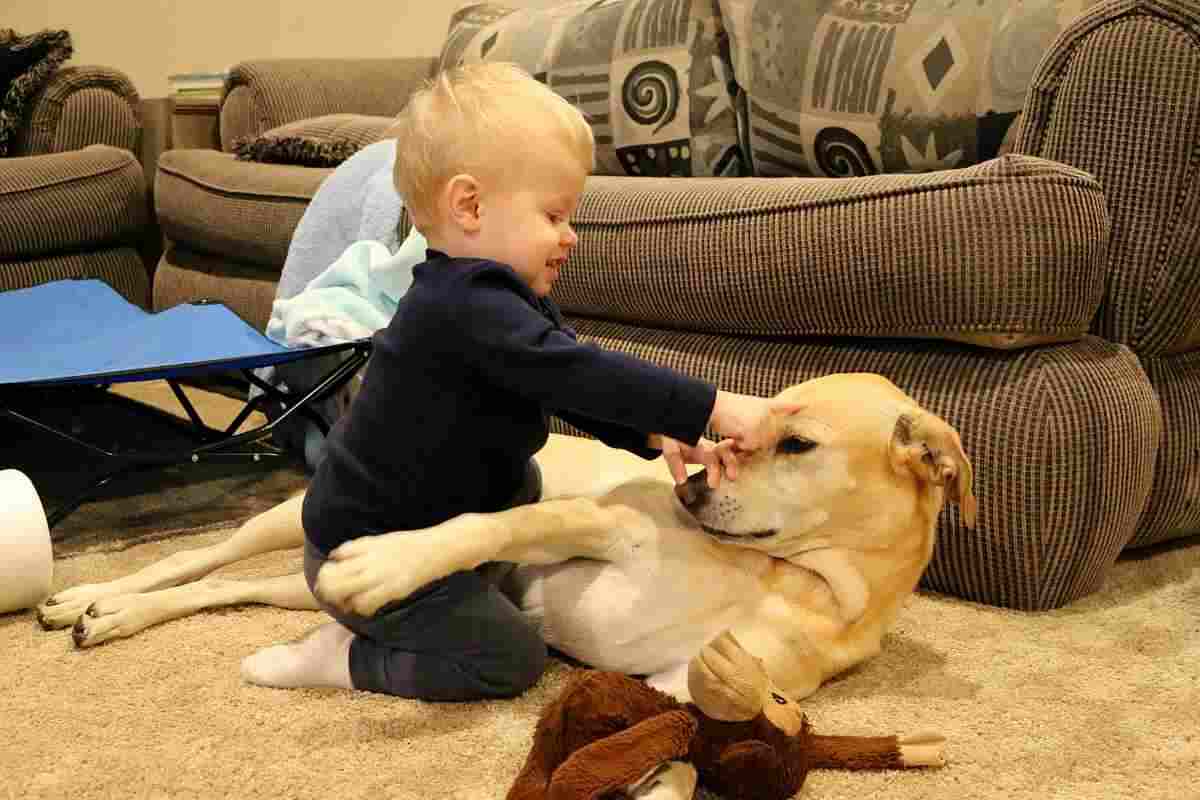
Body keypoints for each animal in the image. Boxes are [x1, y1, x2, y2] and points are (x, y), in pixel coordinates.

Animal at [39, 374, 974, 705]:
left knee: (219, 589)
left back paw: (108, 617)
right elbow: (495, 523)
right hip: (285, 520)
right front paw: (394, 561)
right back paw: (87, 594)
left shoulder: (690, 679)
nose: (692, 485)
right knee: (196, 558)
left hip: (293, 583)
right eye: (742, 433)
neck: (796, 578)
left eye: (798, 444)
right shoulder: (599, 525)